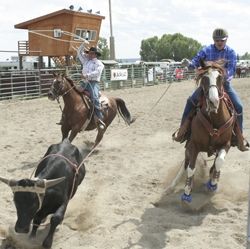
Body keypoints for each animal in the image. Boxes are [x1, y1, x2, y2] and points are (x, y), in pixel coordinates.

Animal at [181, 61, 235, 203]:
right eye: (204, 78)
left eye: (220, 78)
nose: (213, 101)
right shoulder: (193, 145)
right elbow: (191, 169)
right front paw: (187, 193)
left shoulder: (226, 144)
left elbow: (219, 162)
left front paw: (212, 184)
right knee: (187, 163)